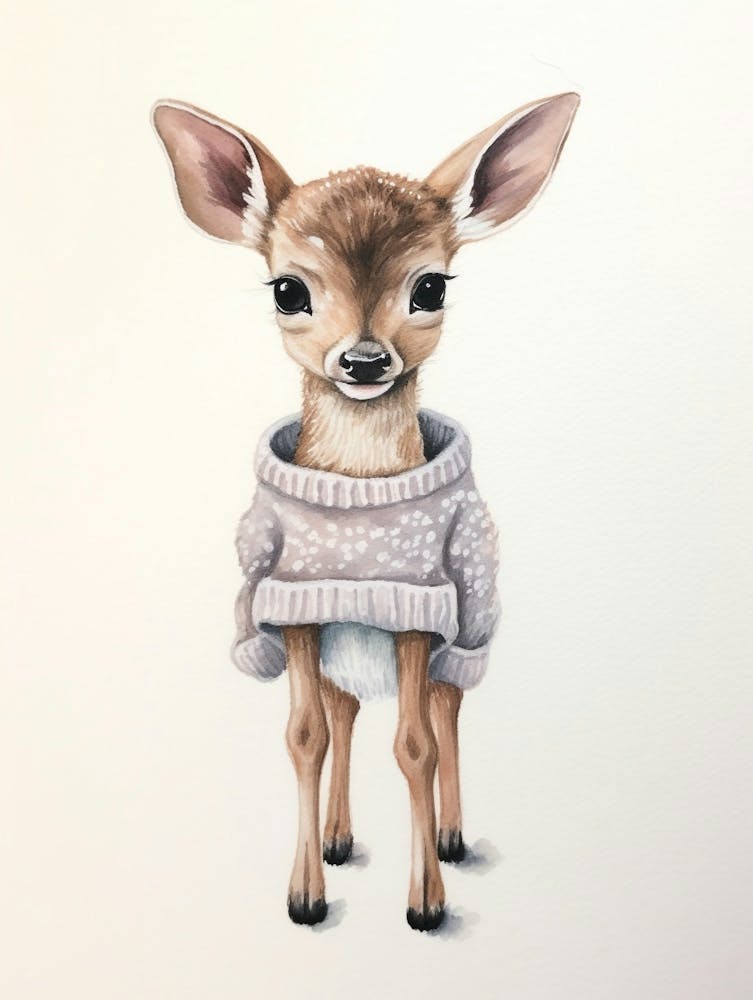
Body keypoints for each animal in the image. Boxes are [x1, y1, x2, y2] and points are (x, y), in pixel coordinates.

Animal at [152, 91, 579, 931]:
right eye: (288, 289)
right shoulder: (296, 607)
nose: (363, 359)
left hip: (465, 634)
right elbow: (303, 736)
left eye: (431, 286)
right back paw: (337, 839)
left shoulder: (421, 609)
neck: (357, 494)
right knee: (344, 715)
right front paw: (305, 896)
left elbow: (414, 746)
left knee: (445, 715)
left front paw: (425, 906)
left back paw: (450, 837)